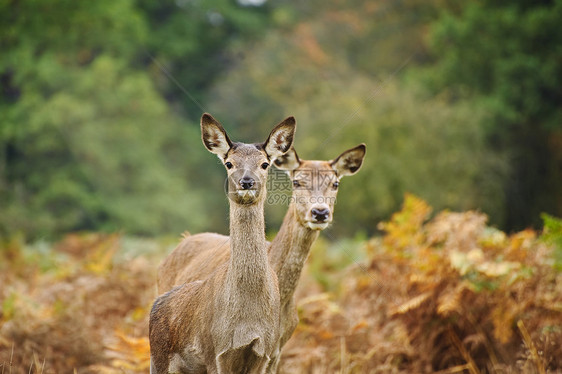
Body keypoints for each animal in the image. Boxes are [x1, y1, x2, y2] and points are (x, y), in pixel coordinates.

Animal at [149, 113, 298, 374]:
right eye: (229, 163)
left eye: (264, 164)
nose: (246, 182)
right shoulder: (215, 352)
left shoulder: (266, 352)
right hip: (158, 359)